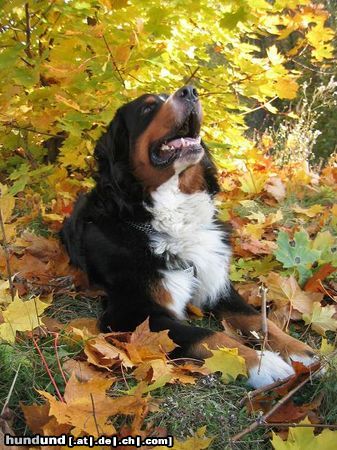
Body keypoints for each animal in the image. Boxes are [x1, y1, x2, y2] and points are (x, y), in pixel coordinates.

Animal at [61, 86, 318, 388]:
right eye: (147, 108)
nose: (190, 91)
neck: (174, 219)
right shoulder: (131, 312)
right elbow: (208, 336)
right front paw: (263, 364)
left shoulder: (218, 283)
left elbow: (257, 319)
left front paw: (299, 351)